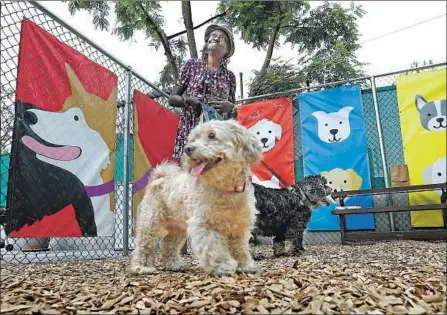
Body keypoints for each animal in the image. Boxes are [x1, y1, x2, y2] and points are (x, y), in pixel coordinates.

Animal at [130, 120, 262, 276]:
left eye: (212, 135)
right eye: (192, 140)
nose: (187, 149)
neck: (225, 189)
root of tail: (160, 176)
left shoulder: (239, 227)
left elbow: (240, 248)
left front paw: (246, 266)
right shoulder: (203, 224)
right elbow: (213, 248)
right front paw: (223, 266)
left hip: (178, 226)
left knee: (168, 243)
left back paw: (173, 265)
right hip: (151, 221)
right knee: (144, 243)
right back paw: (141, 267)